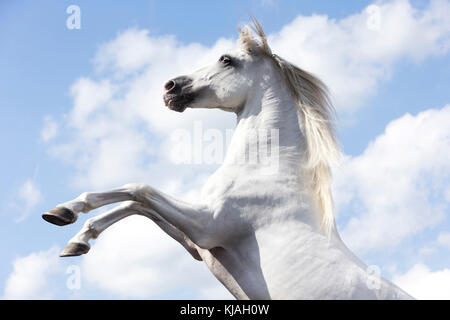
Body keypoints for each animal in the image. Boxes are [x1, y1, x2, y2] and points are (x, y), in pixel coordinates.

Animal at [44, 20, 414, 300]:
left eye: (226, 59)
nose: (170, 87)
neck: (265, 169)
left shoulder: (207, 226)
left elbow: (141, 190)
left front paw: (69, 216)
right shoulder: (197, 243)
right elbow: (137, 205)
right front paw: (72, 230)